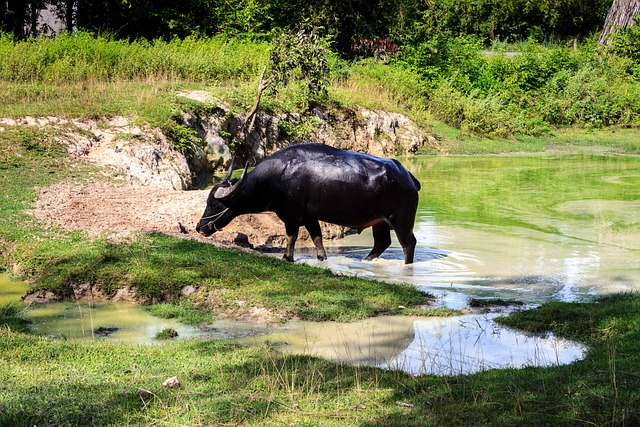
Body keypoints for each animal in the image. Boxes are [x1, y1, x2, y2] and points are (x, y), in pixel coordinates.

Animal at [196, 143, 421, 264]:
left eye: (213, 204)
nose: (199, 227)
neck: (276, 178)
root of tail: (408, 177)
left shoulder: (292, 216)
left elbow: (291, 236)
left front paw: (287, 257)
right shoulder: (310, 218)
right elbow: (317, 238)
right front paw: (322, 258)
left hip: (401, 221)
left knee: (408, 244)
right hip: (379, 222)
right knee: (382, 243)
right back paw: (367, 260)